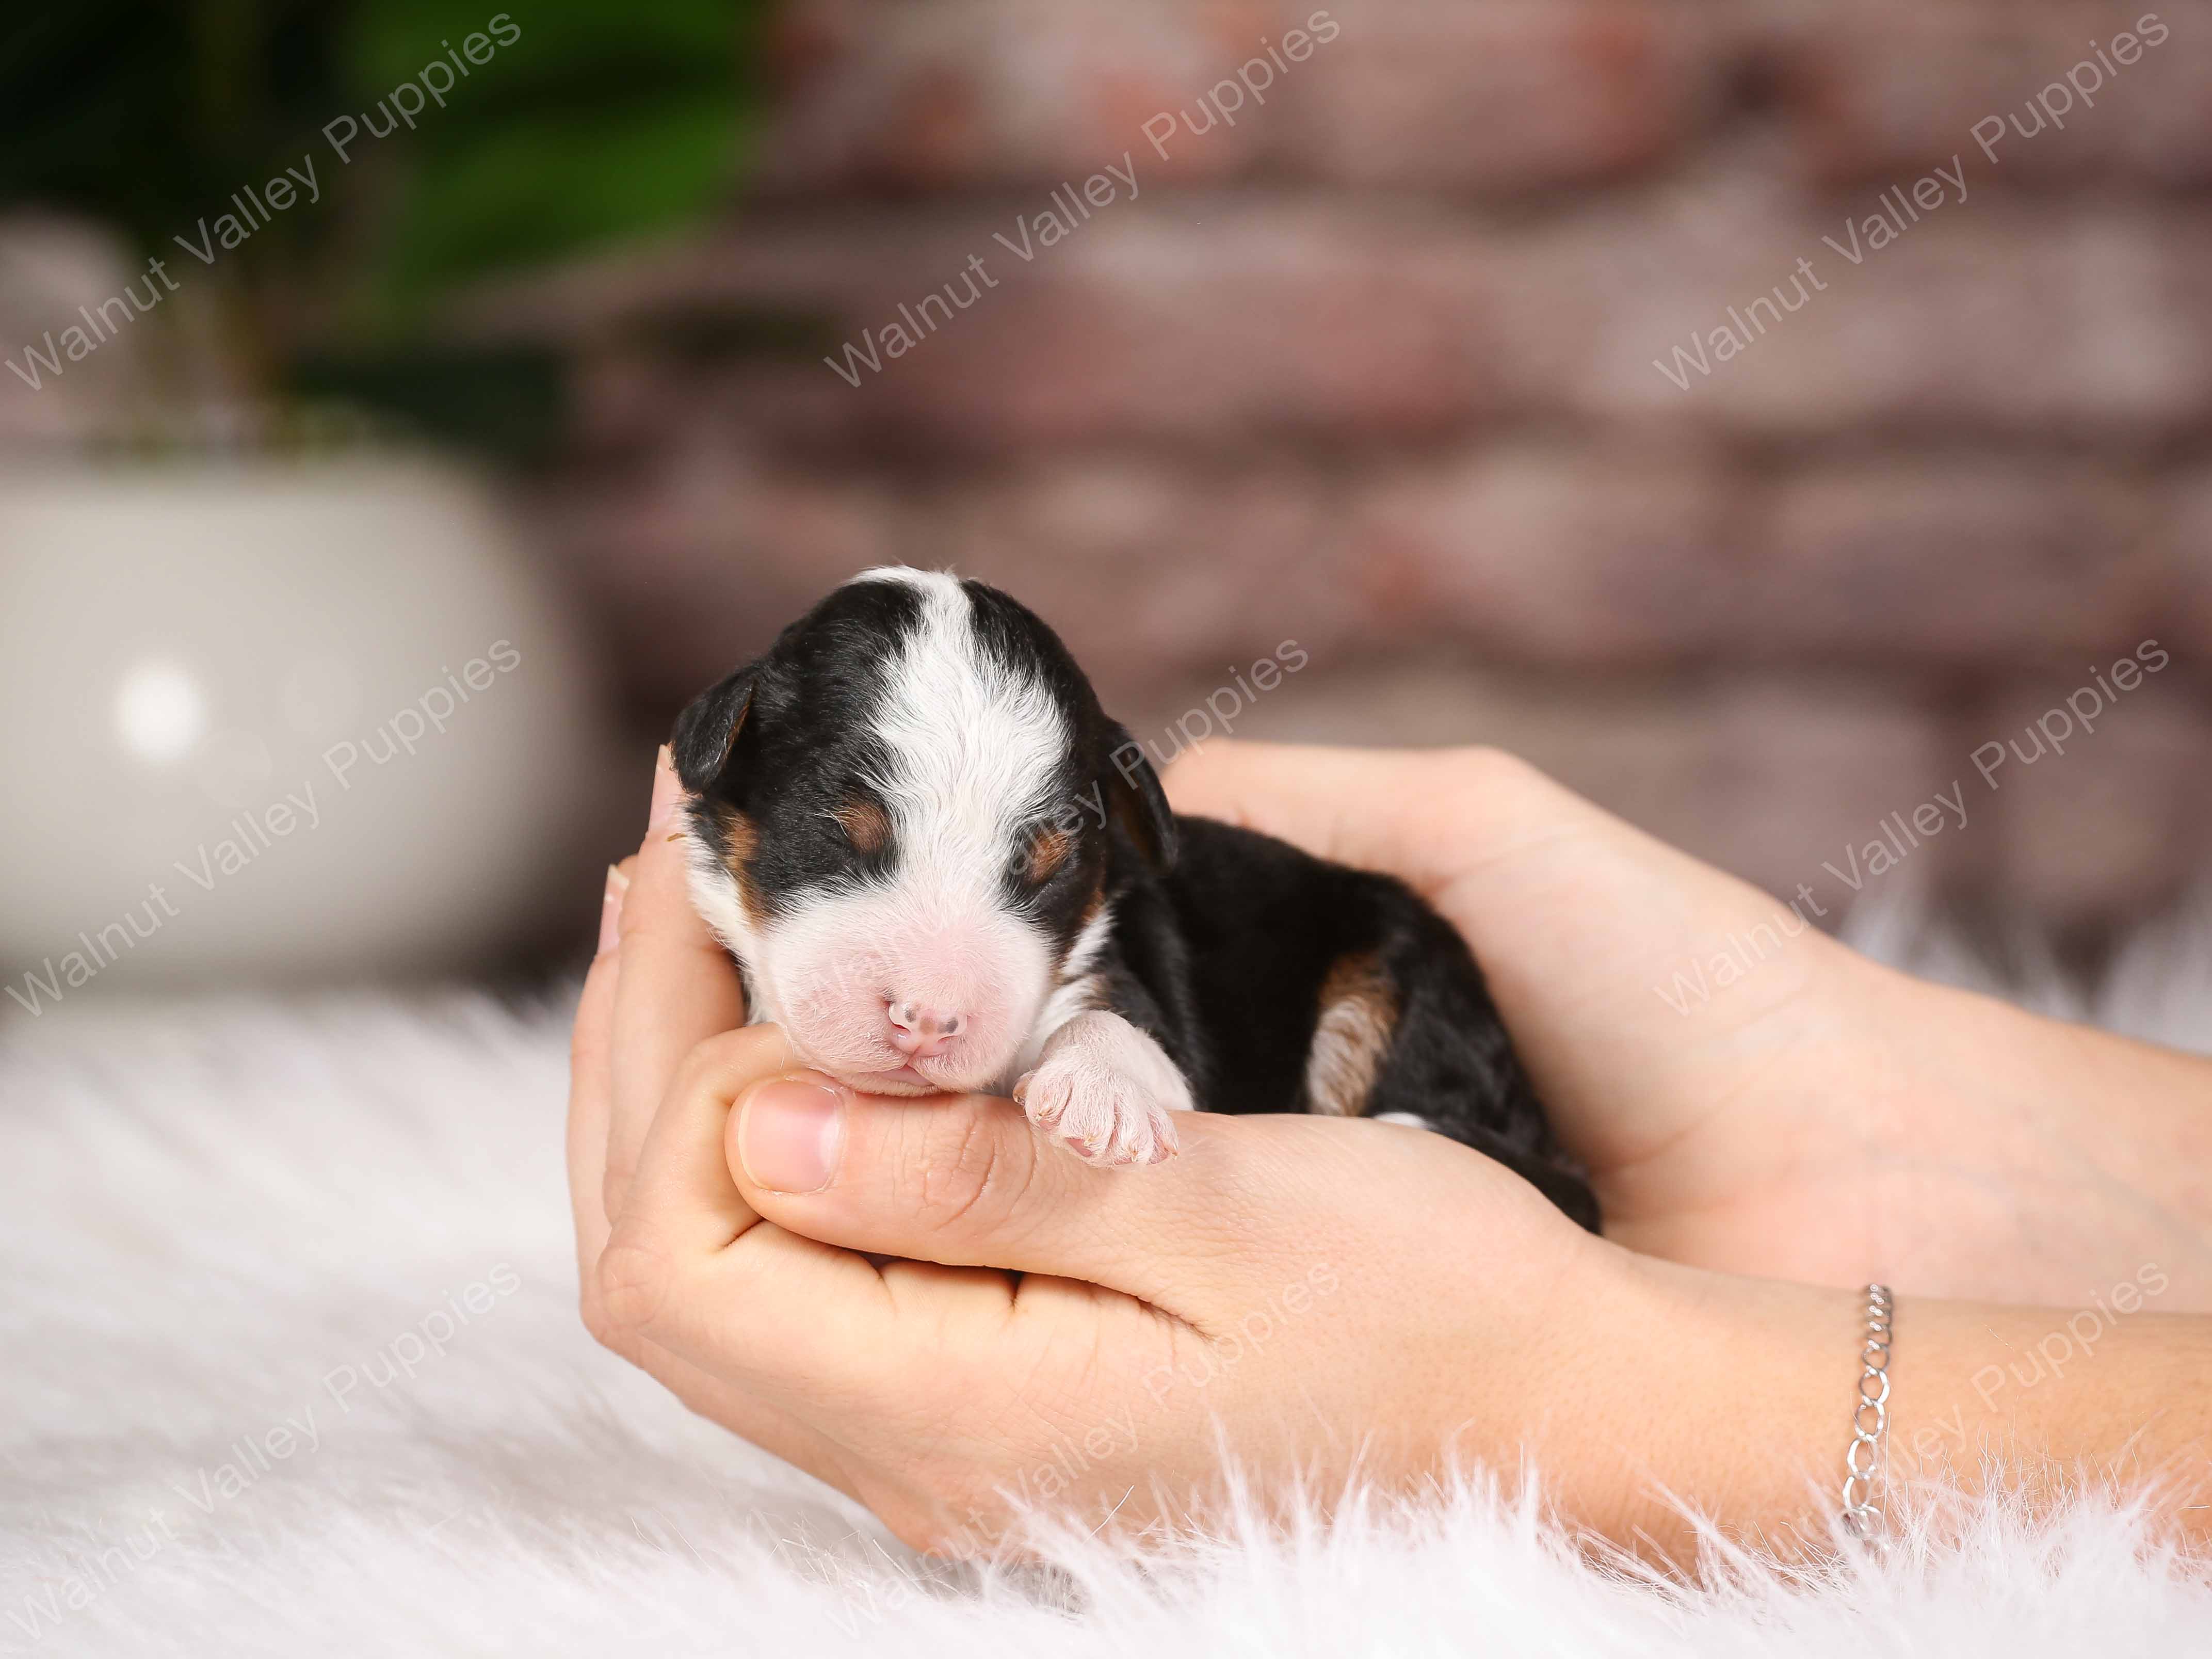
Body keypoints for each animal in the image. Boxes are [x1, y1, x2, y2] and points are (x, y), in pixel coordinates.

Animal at [670, 568, 1598, 1228]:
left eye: (1046, 869)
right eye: (836, 833)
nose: (929, 1019)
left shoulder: (1133, 994)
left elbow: (1125, 1033)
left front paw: (1100, 1096)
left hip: (1407, 975)